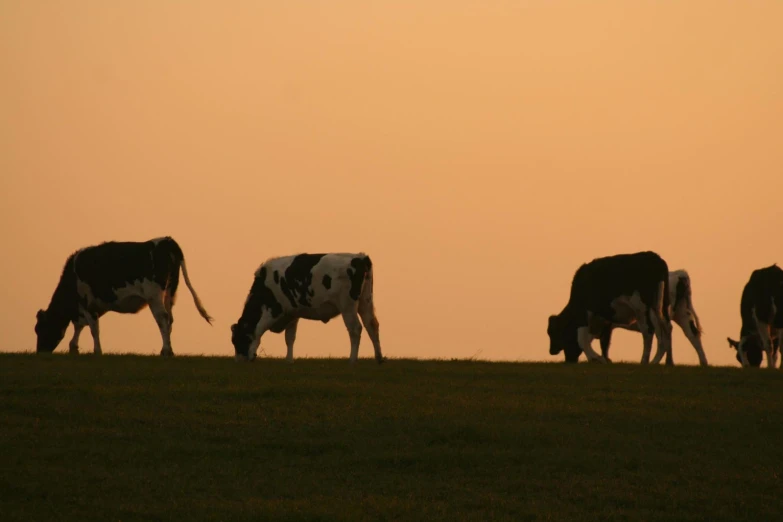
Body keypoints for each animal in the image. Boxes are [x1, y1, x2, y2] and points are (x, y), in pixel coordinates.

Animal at [33, 237, 213, 356]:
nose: (40, 352)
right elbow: (80, 325)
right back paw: (168, 348)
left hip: (154, 294)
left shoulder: (87, 302)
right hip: (170, 292)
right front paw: (73, 347)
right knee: (170, 318)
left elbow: (93, 328)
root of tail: (166, 240)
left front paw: (96, 351)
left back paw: (166, 350)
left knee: (162, 318)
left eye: (40, 328)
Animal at [228, 252, 384, 362]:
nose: (239, 361)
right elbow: (290, 338)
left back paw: (352, 360)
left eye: (237, 340)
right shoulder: (292, 313)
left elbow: (259, 330)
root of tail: (360, 257)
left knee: (355, 329)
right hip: (366, 301)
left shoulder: (273, 310)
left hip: (347, 306)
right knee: (372, 324)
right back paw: (379, 358)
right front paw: (289, 360)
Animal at [544, 250, 672, 364]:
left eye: (554, 332)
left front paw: (599, 359)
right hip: (660, 305)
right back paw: (658, 361)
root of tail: (655, 257)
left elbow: (583, 339)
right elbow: (597, 341)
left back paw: (644, 361)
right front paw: (600, 359)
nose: (551, 351)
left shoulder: (586, 313)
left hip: (640, 306)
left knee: (648, 330)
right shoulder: (603, 320)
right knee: (665, 328)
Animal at [556, 270, 712, 364]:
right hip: (683, 313)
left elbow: (593, 342)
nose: (569, 360)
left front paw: (600, 359)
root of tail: (679, 274)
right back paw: (702, 362)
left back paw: (655, 362)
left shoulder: (605, 325)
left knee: (663, 336)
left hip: (656, 316)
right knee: (692, 335)